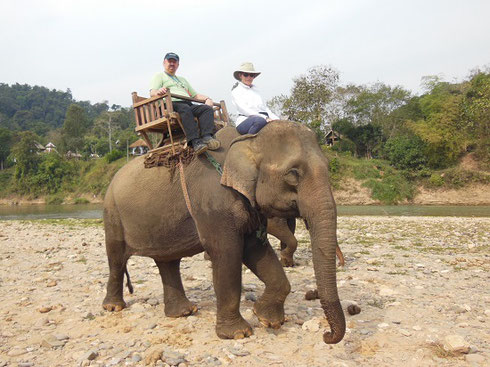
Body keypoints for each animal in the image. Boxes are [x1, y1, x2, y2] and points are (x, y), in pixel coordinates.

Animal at [102, 121, 346, 344]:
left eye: (328, 166)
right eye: (293, 173)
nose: (326, 335)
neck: (249, 139)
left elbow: (256, 250)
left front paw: (268, 319)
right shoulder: (214, 203)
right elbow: (227, 255)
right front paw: (238, 333)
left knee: (168, 261)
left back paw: (183, 312)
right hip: (112, 213)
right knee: (116, 259)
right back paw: (114, 307)